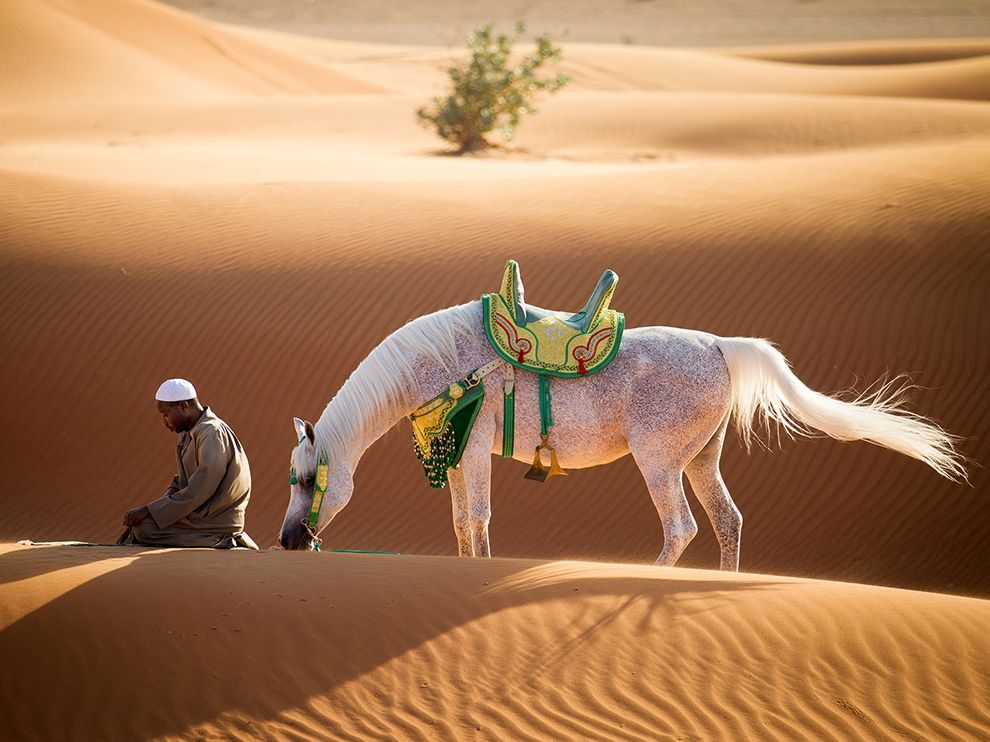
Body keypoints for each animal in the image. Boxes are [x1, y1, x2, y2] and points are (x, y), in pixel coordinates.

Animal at [277, 299, 964, 569]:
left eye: (308, 478)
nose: (285, 541)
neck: (438, 361)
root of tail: (720, 345)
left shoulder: (471, 451)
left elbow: (476, 519)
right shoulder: (460, 454)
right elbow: (462, 524)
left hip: (660, 462)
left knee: (681, 528)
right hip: (701, 459)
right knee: (728, 521)